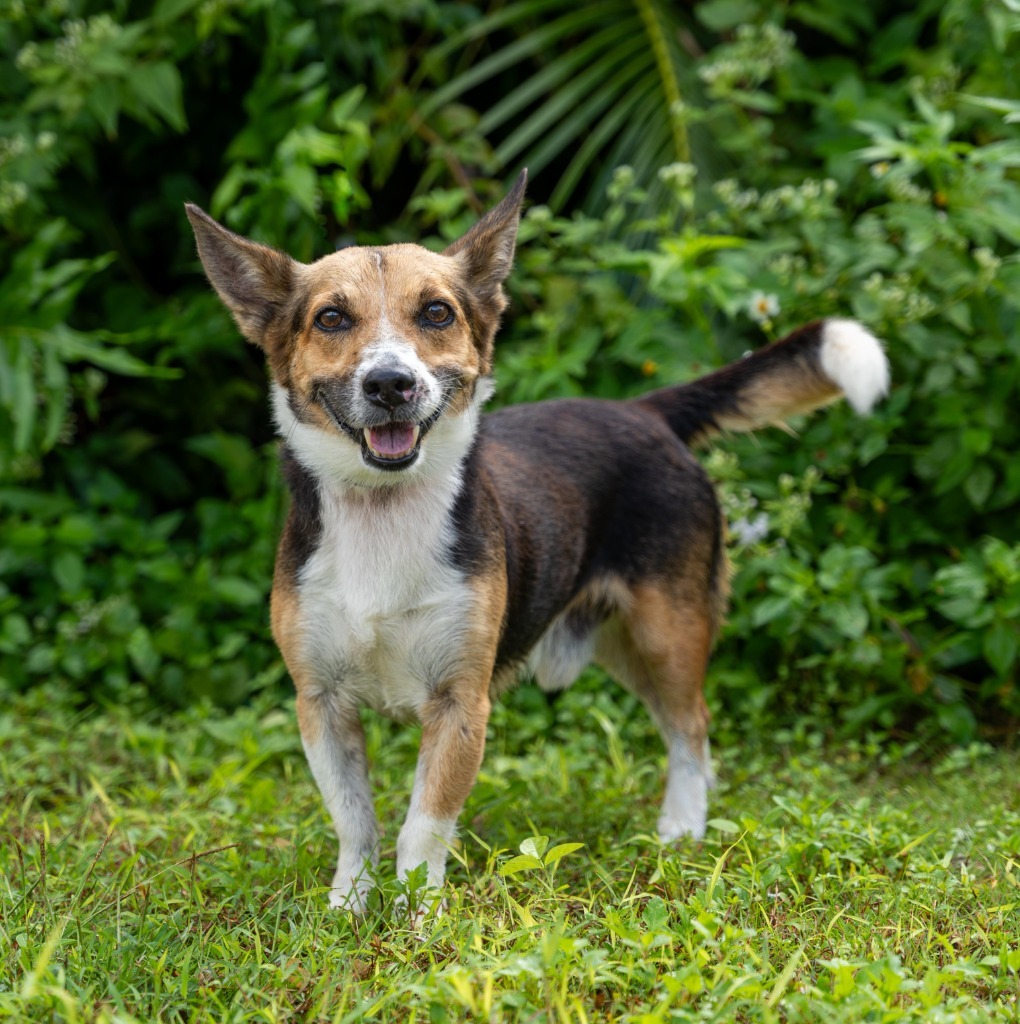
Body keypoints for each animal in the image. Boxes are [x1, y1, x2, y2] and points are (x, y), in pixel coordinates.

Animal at [187, 172, 888, 917]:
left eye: (436, 313)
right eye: (330, 319)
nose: (391, 385)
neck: (385, 508)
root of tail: (644, 412)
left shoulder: (461, 704)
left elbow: (422, 828)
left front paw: (418, 919)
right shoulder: (321, 702)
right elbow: (356, 821)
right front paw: (348, 906)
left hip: (668, 629)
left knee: (691, 726)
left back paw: (682, 828)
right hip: (621, 643)